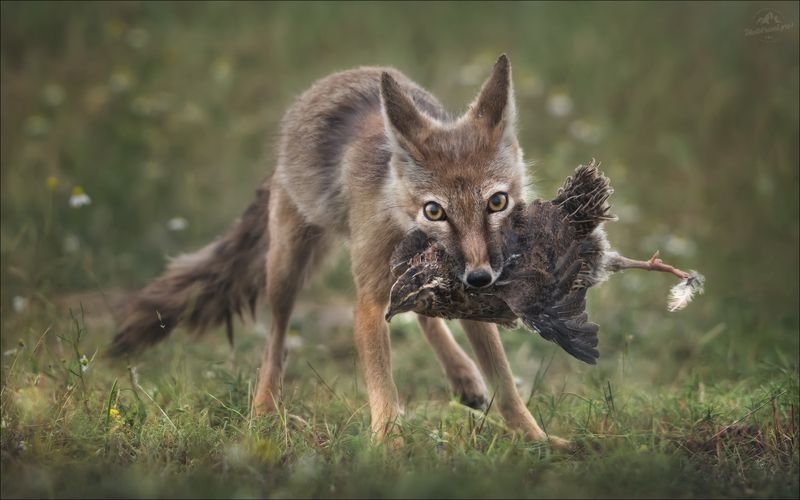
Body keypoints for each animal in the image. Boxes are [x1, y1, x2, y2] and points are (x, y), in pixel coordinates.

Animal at [111, 54, 568, 448]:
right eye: (434, 211)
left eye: (497, 202)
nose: (478, 278)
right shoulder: (367, 303)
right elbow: (383, 388)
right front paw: (388, 447)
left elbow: (505, 385)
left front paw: (539, 440)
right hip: (286, 270)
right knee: (275, 341)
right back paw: (264, 408)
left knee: (424, 315)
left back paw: (462, 377)